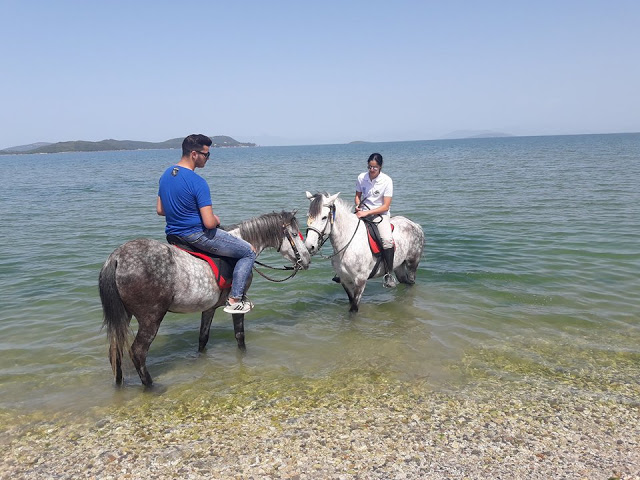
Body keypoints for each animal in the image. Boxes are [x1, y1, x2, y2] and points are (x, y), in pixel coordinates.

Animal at [98, 210, 310, 386]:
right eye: (293, 234)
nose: (307, 259)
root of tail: (117, 258)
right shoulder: (237, 302)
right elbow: (239, 336)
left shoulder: (208, 308)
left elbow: (203, 338)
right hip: (151, 318)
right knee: (138, 352)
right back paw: (150, 387)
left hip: (124, 315)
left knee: (115, 351)